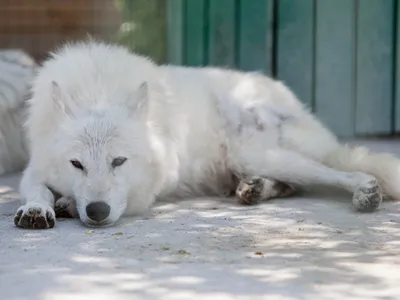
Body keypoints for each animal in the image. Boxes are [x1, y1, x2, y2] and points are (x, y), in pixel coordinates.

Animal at [14, 40, 400, 230]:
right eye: (76, 164)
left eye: (119, 161)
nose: (96, 211)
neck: (98, 88)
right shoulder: (33, 169)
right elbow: (38, 190)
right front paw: (39, 208)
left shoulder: (151, 186)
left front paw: (65, 203)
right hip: (251, 160)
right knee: (293, 184)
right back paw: (254, 189)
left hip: (254, 153)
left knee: (334, 172)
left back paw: (366, 191)